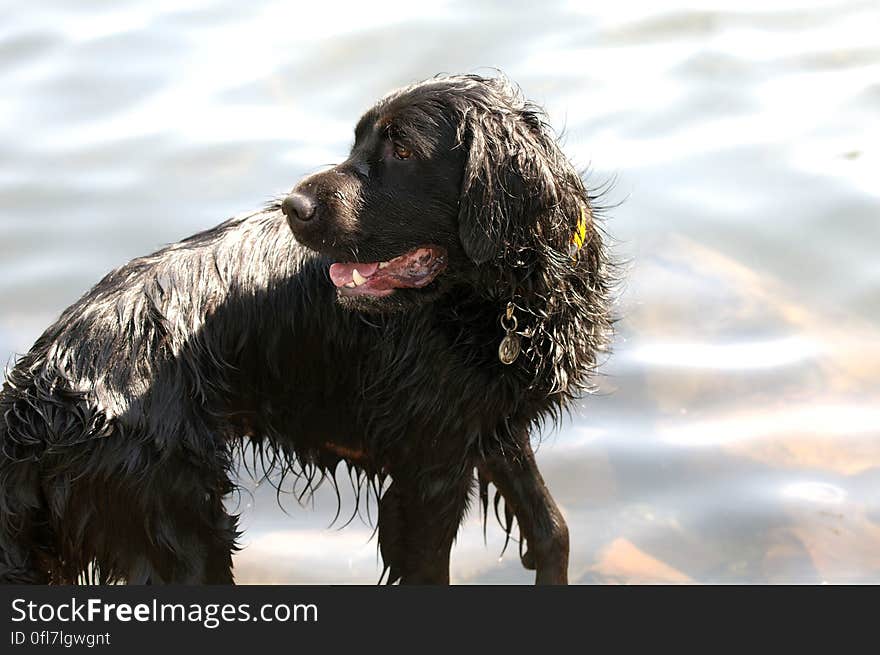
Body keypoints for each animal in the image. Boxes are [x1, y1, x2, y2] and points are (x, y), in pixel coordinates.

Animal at [0, 75, 616, 584]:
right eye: (358, 143)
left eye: (403, 150)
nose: (293, 207)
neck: (498, 299)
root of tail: (36, 389)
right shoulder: (430, 471)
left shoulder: (491, 426)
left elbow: (553, 532)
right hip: (179, 532)